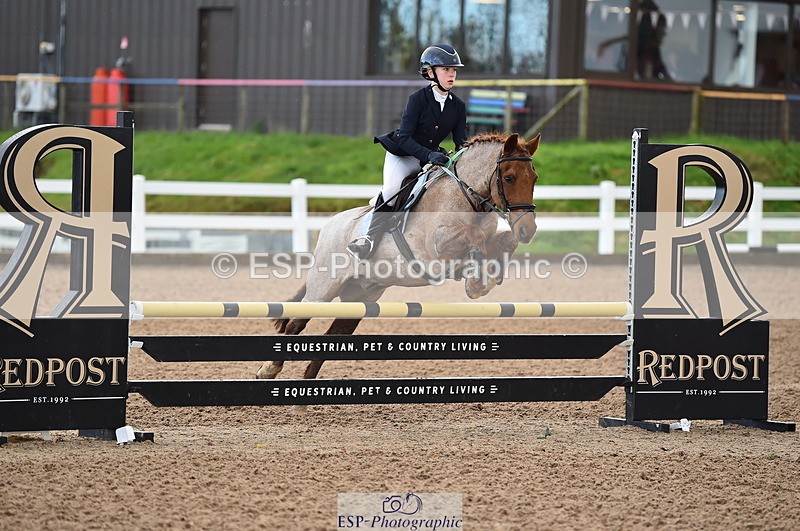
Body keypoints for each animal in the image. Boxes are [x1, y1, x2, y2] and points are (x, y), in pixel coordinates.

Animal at [256, 132, 541, 380]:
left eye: (535, 178)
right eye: (509, 178)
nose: (528, 230)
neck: (467, 199)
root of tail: (329, 226)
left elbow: (503, 242)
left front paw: (481, 280)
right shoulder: (434, 248)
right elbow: (475, 236)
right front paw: (477, 278)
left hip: (360, 297)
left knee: (333, 337)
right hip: (324, 288)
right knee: (296, 323)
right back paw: (268, 370)